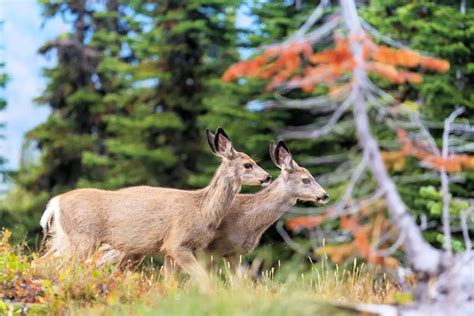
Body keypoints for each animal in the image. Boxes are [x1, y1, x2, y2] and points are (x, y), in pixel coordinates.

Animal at [41, 127, 272, 280]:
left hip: (65, 238)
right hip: (83, 239)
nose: (267, 177)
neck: (201, 208)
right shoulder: (176, 243)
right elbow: (204, 280)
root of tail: (56, 202)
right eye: (248, 164)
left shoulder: (167, 252)